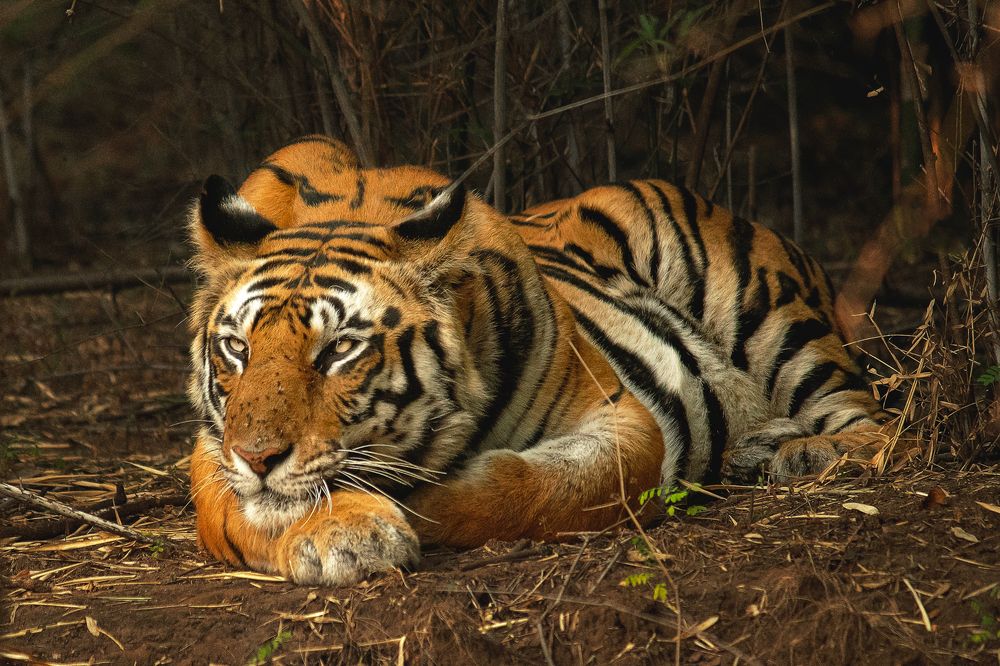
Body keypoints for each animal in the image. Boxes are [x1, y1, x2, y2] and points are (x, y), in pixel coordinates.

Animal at [187, 134, 886, 586]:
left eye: (338, 350)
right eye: (237, 348)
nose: (257, 457)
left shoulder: (620, 415)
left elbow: (538, 488)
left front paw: (411, 503)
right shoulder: (209, 452)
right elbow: (244, 504)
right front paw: (342, 533)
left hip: (768, 309)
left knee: (869, 419)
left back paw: (808, 452)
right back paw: (759, 447)